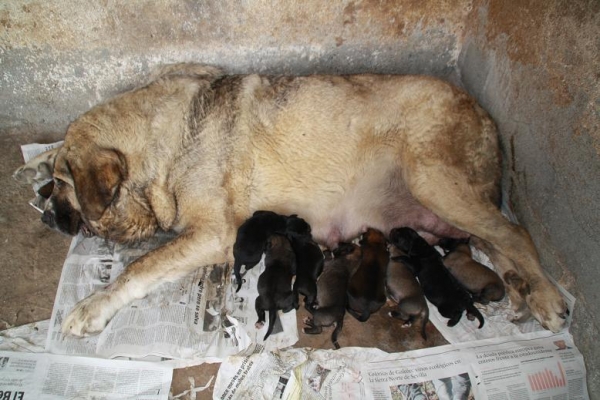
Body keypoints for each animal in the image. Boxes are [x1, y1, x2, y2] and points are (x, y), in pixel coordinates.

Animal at [12, 64, 568, 336]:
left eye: (66, 185)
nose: (49, 214)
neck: (163, 146)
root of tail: (487, 118)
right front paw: (32, 166)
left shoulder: (213, 235)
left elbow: (138, 268)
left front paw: (94, 305)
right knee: (494, 242)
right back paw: (521, 290)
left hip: (433, 178)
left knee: (515, 233)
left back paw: (547, 297)